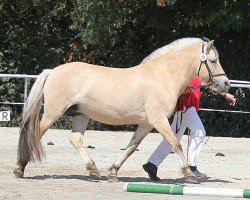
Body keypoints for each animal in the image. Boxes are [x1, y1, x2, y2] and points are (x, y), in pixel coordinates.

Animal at [13, 37, 229, 183]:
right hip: (52, 113)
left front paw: (113, 172)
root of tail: (52, 71)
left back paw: (94, 171)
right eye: (212, 61)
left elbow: (131, 147)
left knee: (75, 139)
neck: (163, 76)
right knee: (36, 133)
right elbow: (176, 144)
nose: (226, 83)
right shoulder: (159, 120)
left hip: (81, 115)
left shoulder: (146, 124)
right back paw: (19, 168)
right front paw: (188, 174)